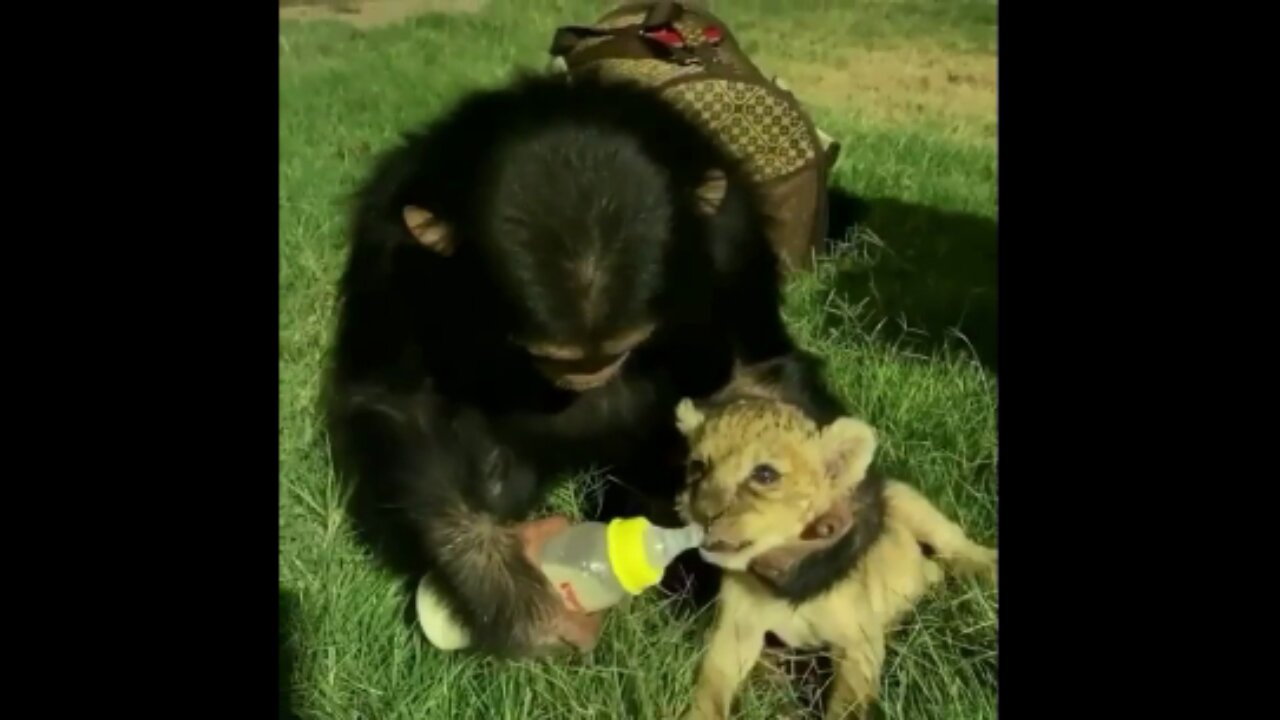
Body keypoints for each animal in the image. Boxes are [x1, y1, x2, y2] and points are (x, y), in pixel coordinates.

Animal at [327, 71, 849, 655]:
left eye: (617, 349)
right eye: (548, 354)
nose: (586, 372)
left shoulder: (734, 236)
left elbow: (751, 374)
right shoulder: (388, 249)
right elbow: (403, 400)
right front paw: (496, 580)